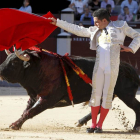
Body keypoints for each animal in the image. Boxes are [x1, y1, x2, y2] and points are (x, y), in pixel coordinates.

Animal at [0, 49, 140, 131]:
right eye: (7, 59)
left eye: (14, 62)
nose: (0, 70)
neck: (39, 68)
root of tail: (130, 69)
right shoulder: (34, 96)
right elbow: (26, 111)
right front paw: (16, 124)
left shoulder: (47, 99)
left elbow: (30, 112)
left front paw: (15, 125)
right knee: (100, 107)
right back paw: (80, 122)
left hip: (126, 95)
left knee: (136, 106)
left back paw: (136, 128)